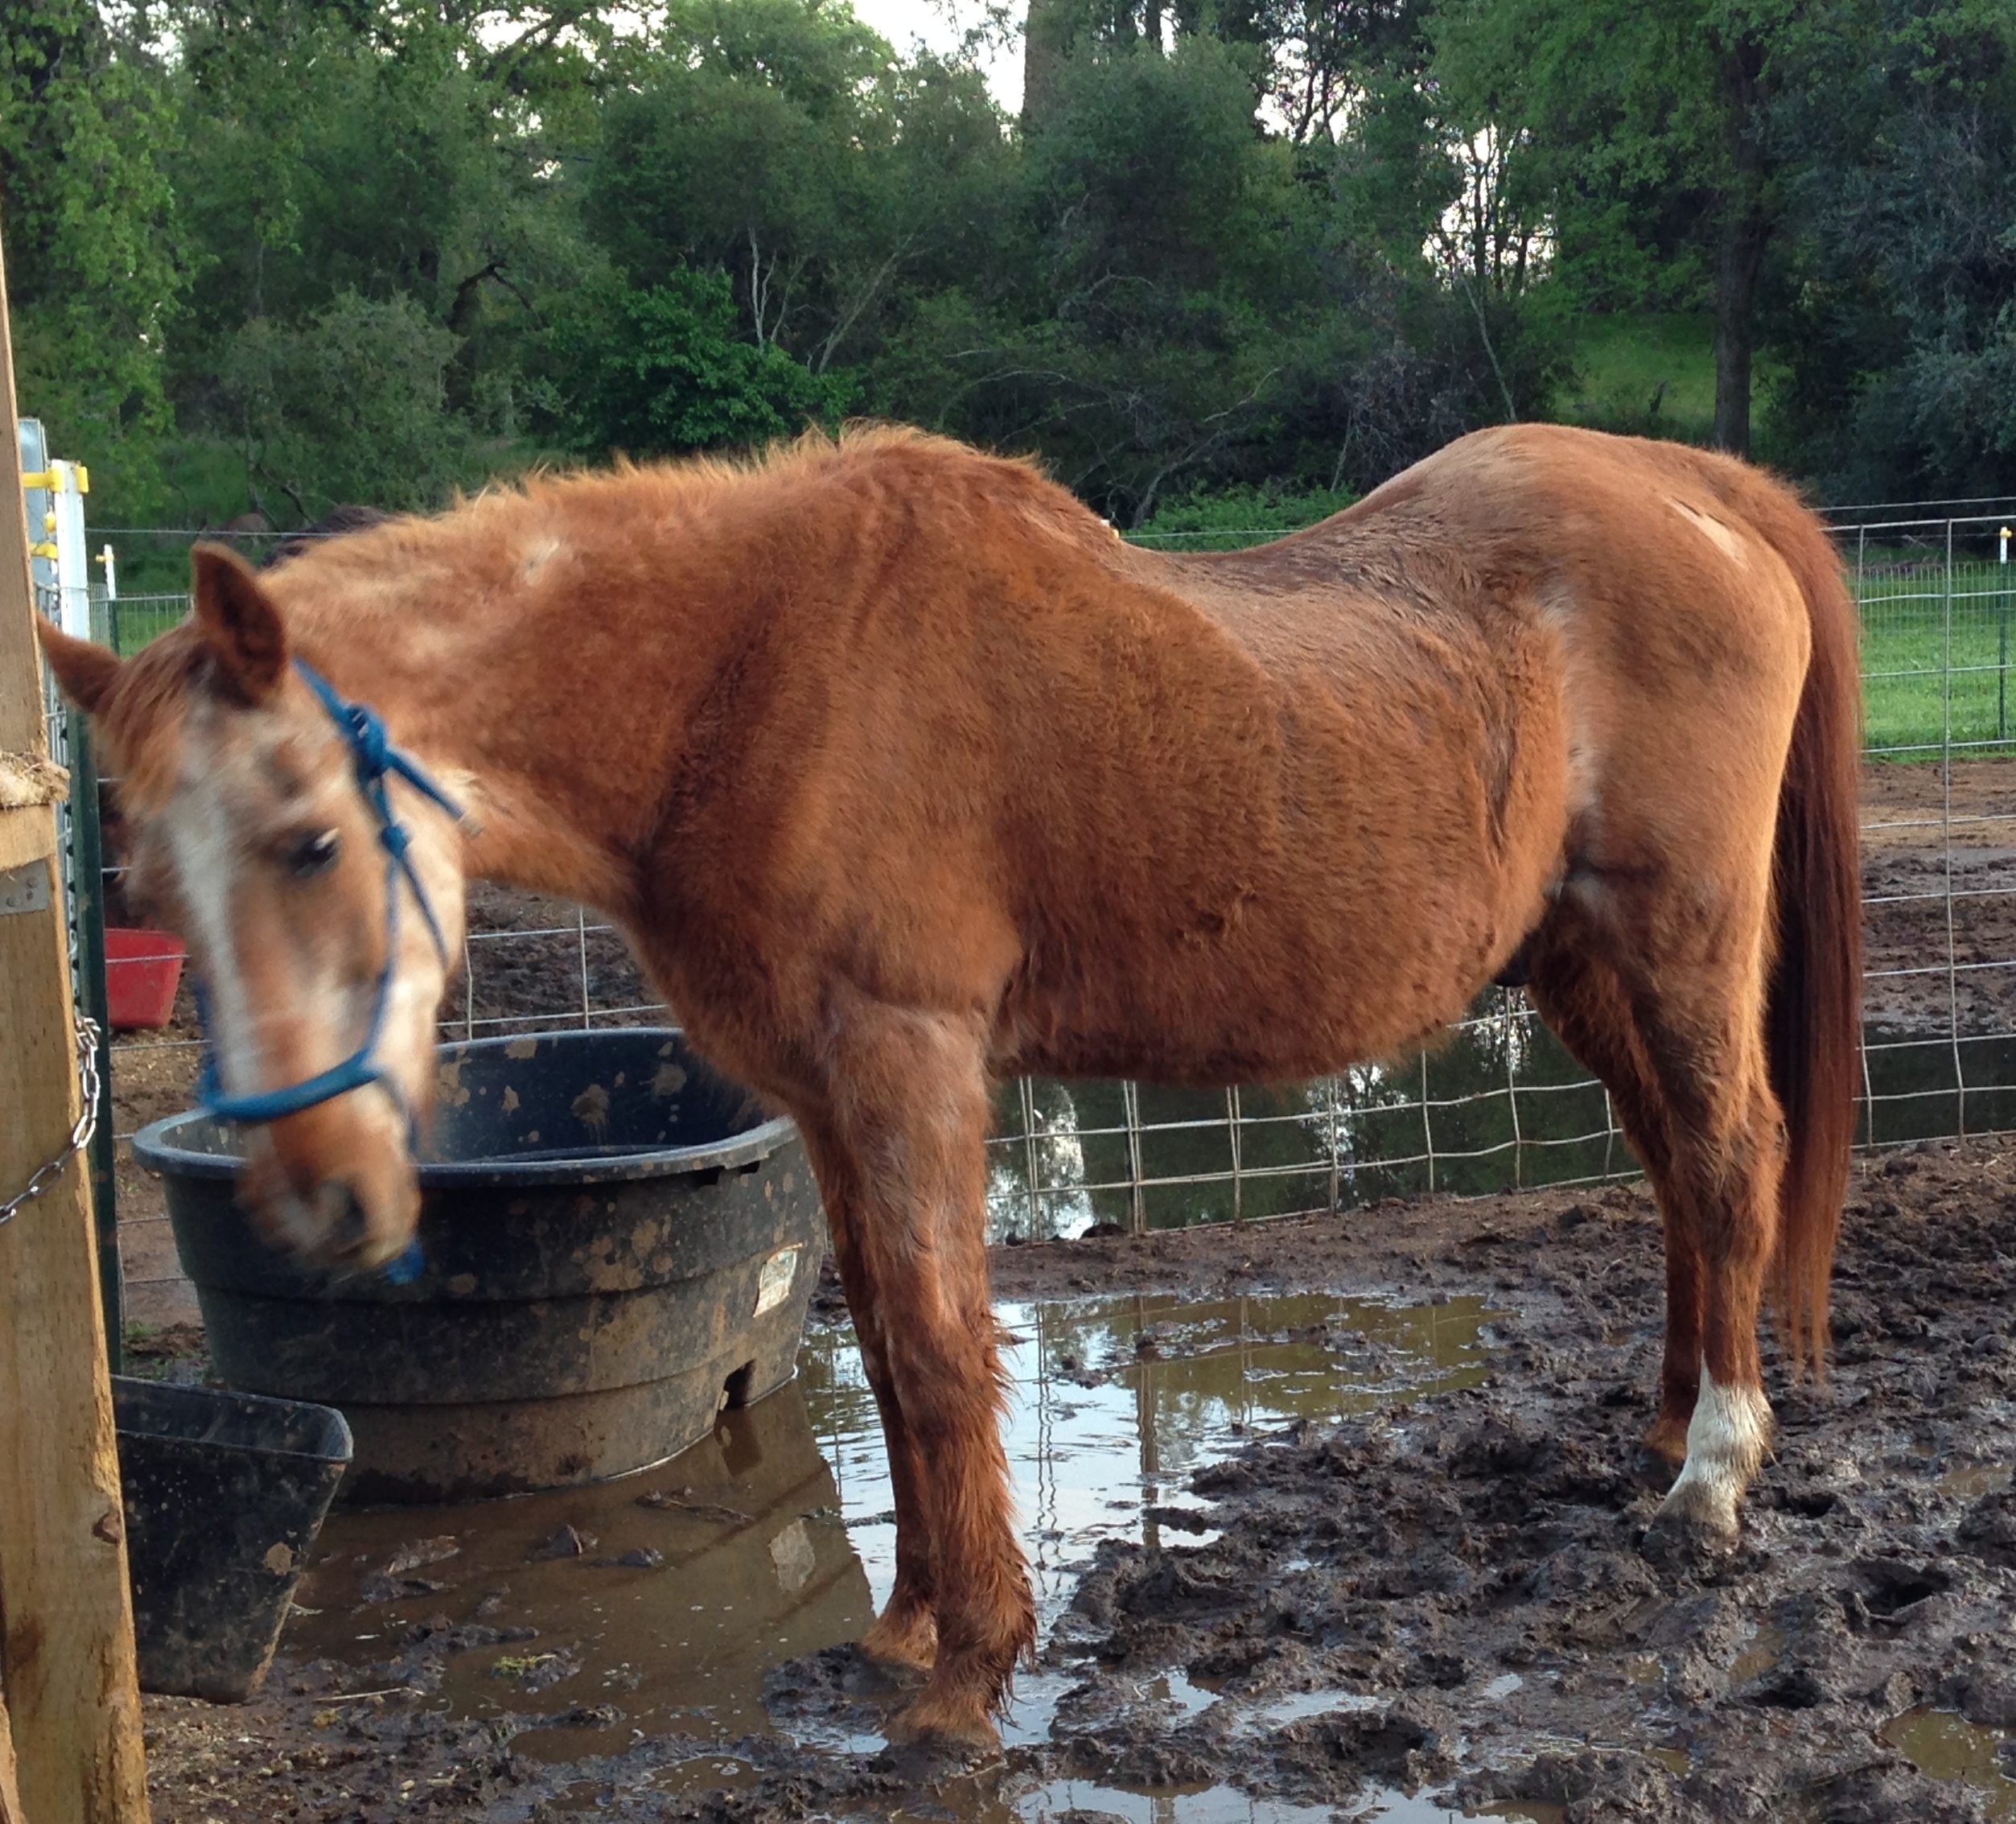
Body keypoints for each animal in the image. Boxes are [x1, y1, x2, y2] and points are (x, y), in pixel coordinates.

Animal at [38, 421, 1862, 1748]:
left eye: (307, 839)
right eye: (147, 885)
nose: (316, 1197)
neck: (752, 670)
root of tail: (1704, 492)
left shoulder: (905, 1058)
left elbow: (929, 1348)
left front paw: (967, 1667)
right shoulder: (830, 1096)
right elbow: (882, 1344)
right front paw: (909, 1623)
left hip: (1676, 940)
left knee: (1727, 1156)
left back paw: (1711, 1477)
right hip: (1581, 963)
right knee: (1676, 1171)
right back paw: (1664, 1426)